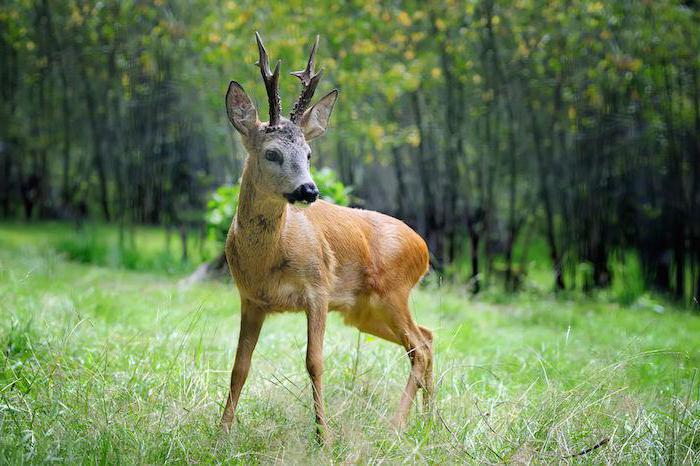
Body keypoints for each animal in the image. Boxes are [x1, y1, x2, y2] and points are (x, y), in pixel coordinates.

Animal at [221, 33, 434, 440]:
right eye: (272, 153)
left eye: (308, 153)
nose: (308, 190)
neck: (267, 260)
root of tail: (424, 248)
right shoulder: (250, 299)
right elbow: (240, 365)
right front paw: (221, 430)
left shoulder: (317, 288)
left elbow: (314, 361)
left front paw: (324, 436)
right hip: (364, 311)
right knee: (428, 337)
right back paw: (430, 422)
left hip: (393, 291)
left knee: (418, 346)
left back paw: (396, 425)